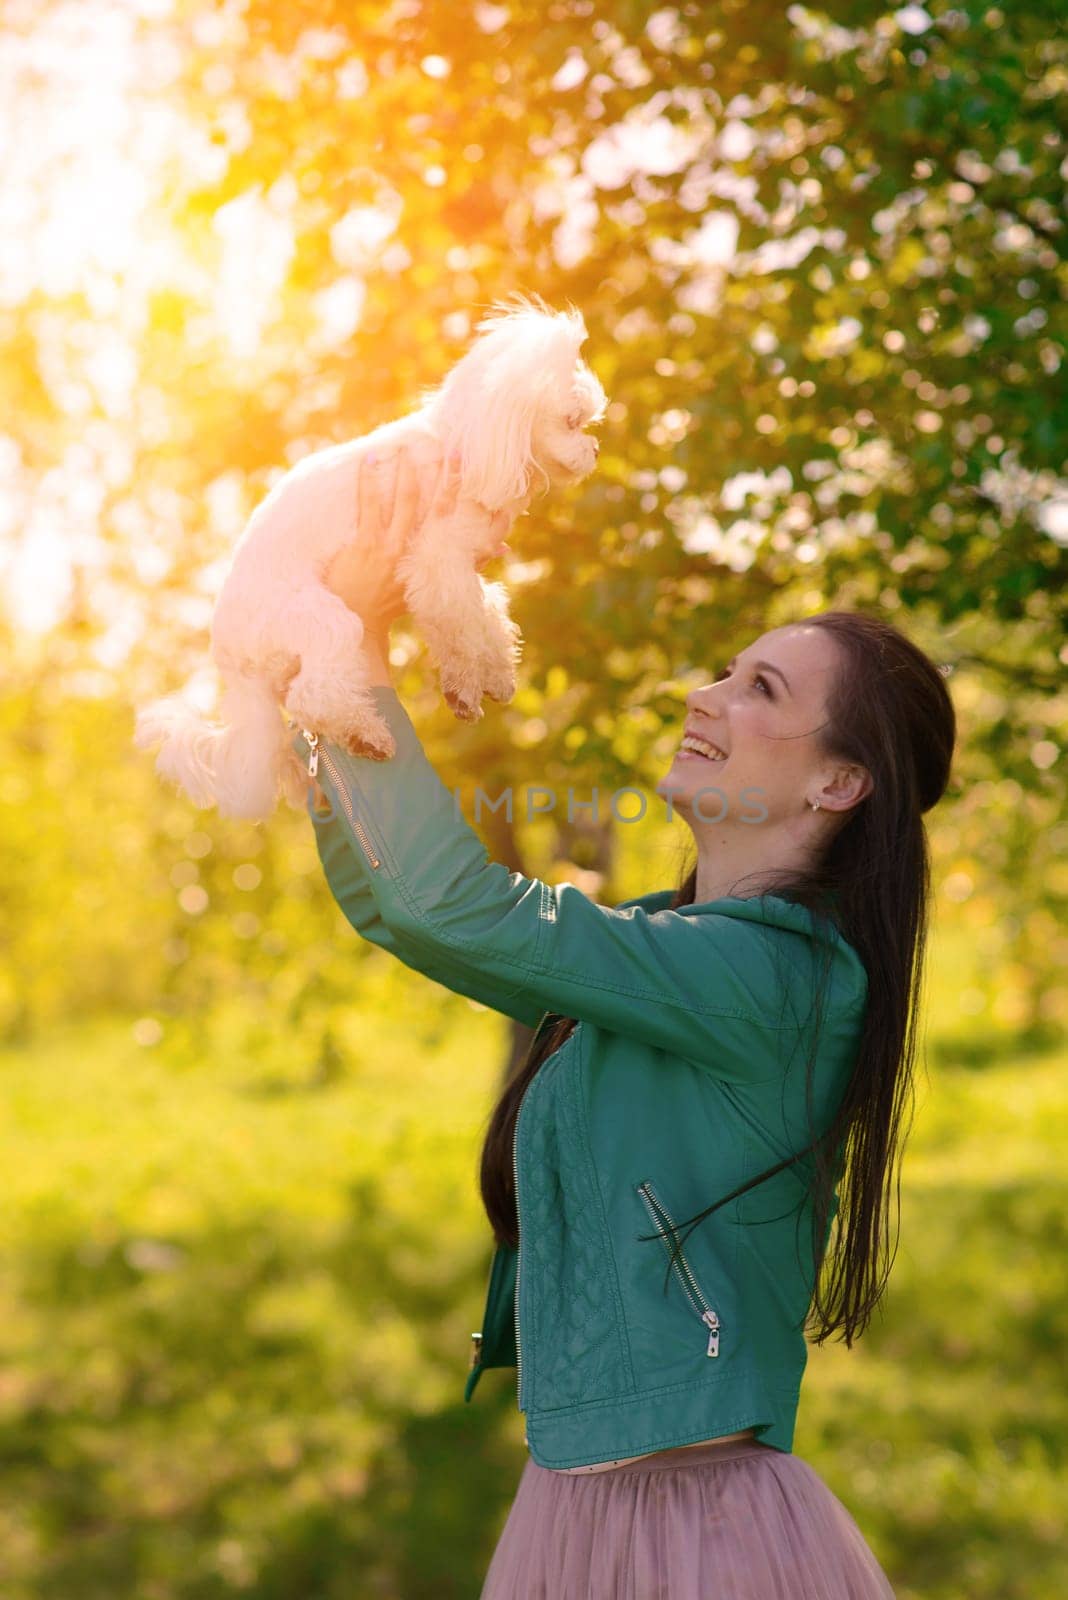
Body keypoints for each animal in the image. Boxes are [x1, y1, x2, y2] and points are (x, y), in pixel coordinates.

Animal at [131, 299, 607, 819]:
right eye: (572, 422)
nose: (594, 450)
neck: (465, 443)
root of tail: (229, 656)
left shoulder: (457, 566)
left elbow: (487, 613)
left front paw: (497, 674)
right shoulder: (438, 563)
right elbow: (461, 630)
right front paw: (466, 685)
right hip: (322, 618)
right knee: (313, 696)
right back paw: (366, 735)